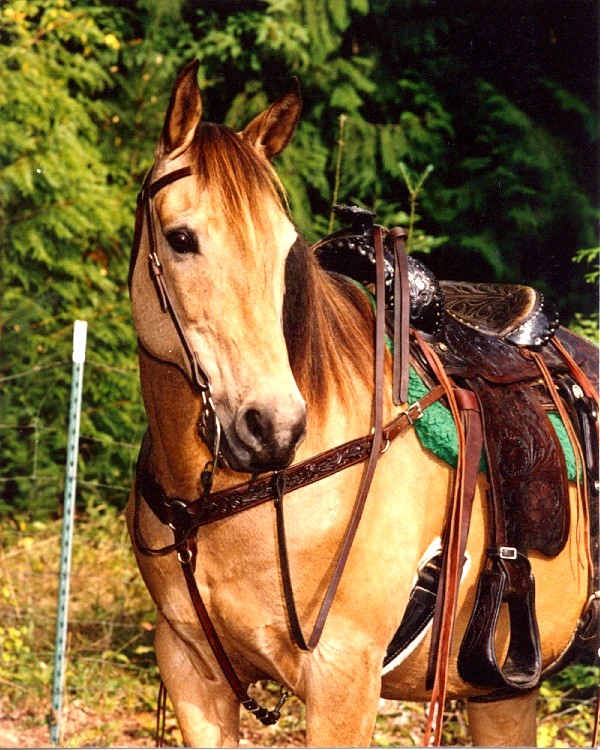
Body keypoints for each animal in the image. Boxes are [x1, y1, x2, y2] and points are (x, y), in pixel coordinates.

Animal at [126, 59, 598, 747]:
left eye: (285, 248)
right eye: (180, 238)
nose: (272, 425)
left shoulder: (344, 678)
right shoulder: (192, 673)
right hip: (503, 690)